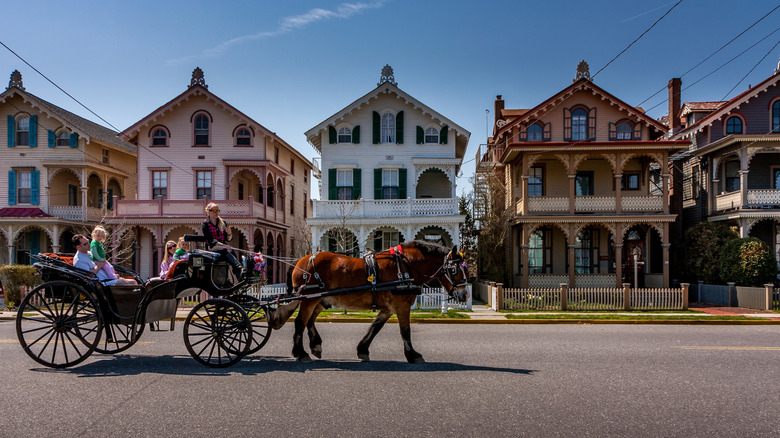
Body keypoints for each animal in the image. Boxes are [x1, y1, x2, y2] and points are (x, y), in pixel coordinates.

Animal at [266, 240, 470, 362]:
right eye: (455, 270)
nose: (465, 295)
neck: (405, 267)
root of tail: (301, 260)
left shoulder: (388, 308)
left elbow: (374, 328)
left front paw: (362, 349)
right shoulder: (402, 305)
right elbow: (405, 331)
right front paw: (412, 355)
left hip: (319, 299)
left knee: (309, 321)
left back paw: (315, 345)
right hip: (310, 298)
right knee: (300, 322)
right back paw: (301, 353)